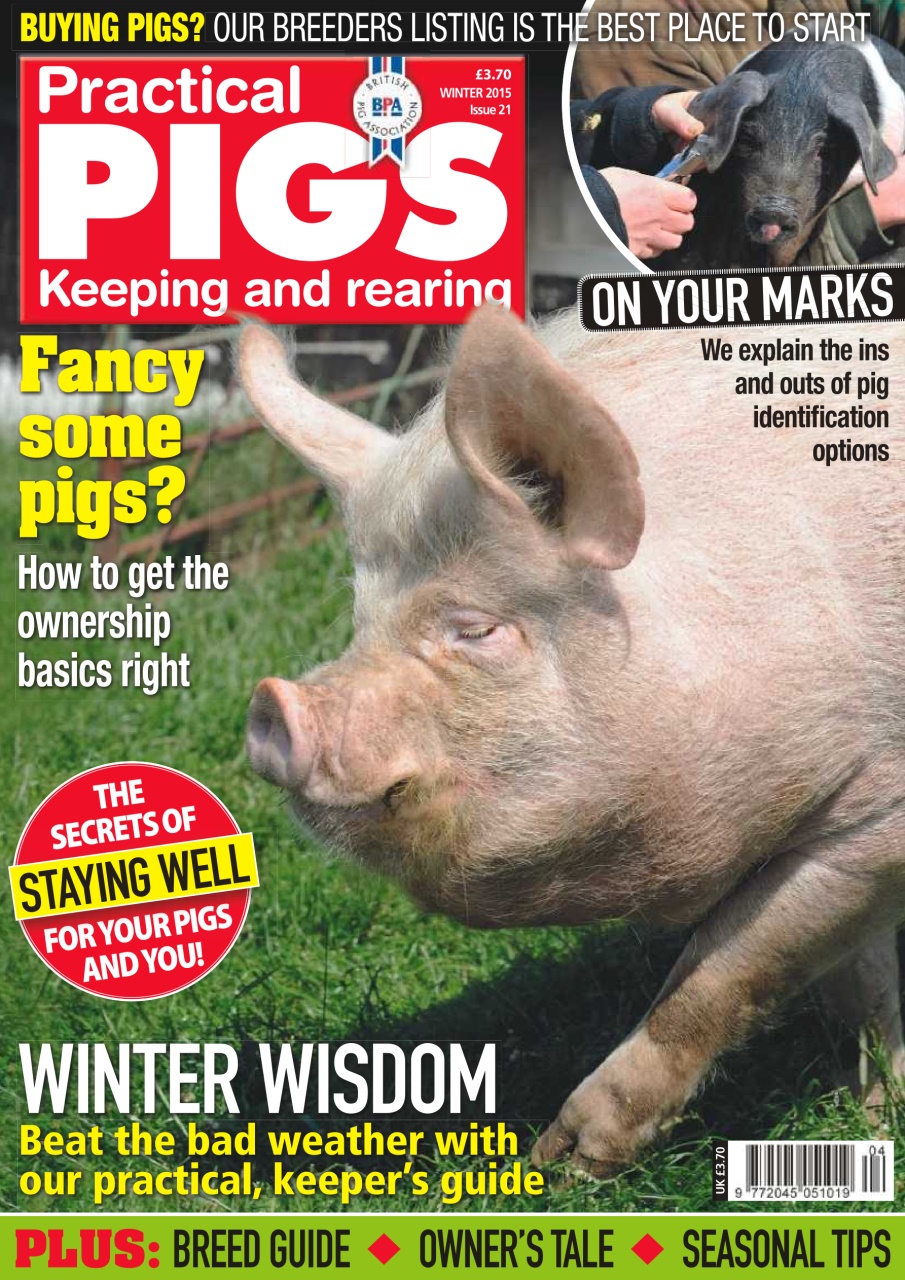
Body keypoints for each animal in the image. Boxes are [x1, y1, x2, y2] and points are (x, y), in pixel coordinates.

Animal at [243, 307, 905, 1175]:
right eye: (361, 622)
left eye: (475, 629)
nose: (272, 704)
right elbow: (860, 979)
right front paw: (871, 1114)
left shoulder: (876, 811)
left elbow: (719, 975)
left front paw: (558, 1161)